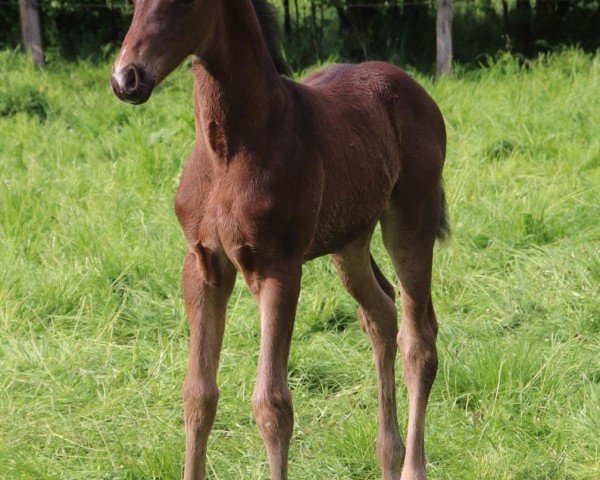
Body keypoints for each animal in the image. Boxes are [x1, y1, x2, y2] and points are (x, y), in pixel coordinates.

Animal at [110, 0, 446, 480]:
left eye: (184, 4)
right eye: (134, 5)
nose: (126, 79)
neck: (229, 150)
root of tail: (415, 88)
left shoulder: (278, 269)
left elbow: (272, 405)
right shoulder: (203, 265)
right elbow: (198, 395)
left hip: (411, 220)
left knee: (419, 342)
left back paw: (410, 464)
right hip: (349, 239)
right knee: (381, 312)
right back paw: (388, 453)